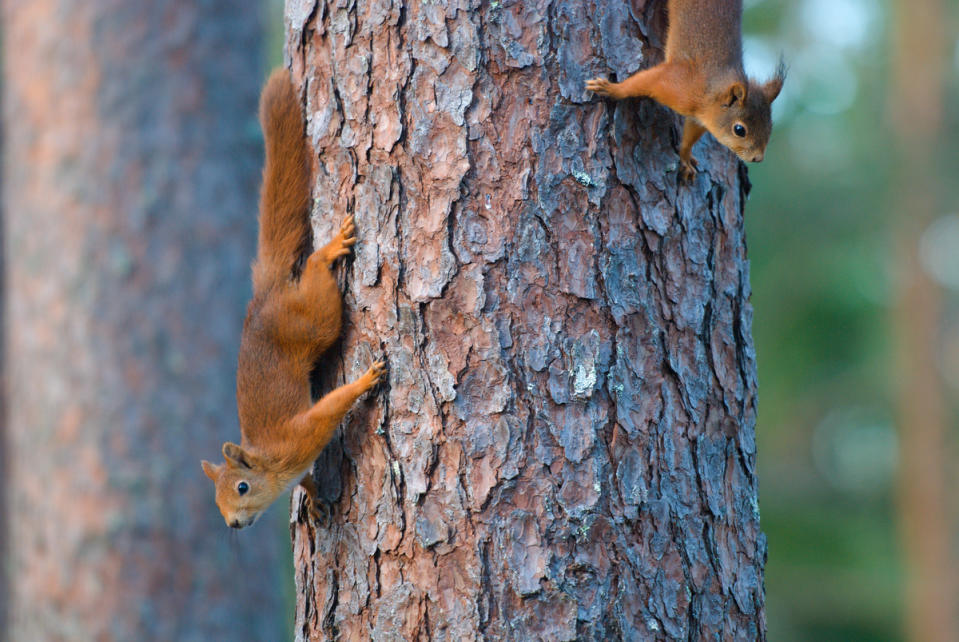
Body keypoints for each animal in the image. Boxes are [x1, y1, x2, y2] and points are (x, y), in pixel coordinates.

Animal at [202, 71, 386, 528]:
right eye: (216, 500)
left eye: (242, 487)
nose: (233, 524)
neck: (272, 466)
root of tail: (264, 296)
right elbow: (307, 480)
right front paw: (315, 497)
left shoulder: (301, 435)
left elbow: (332, 407)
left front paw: (364, 382)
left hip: (312, 320)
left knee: (318, 276)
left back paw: (330, 249)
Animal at [588, 0, 784, 181]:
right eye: (739, 130)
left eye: (770, 126)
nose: (758, 158)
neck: (709, 92)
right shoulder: (673, 83)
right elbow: (642, 81)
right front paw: (612, 89)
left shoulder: (698, 116)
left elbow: (690, 134)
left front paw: (685, 157)